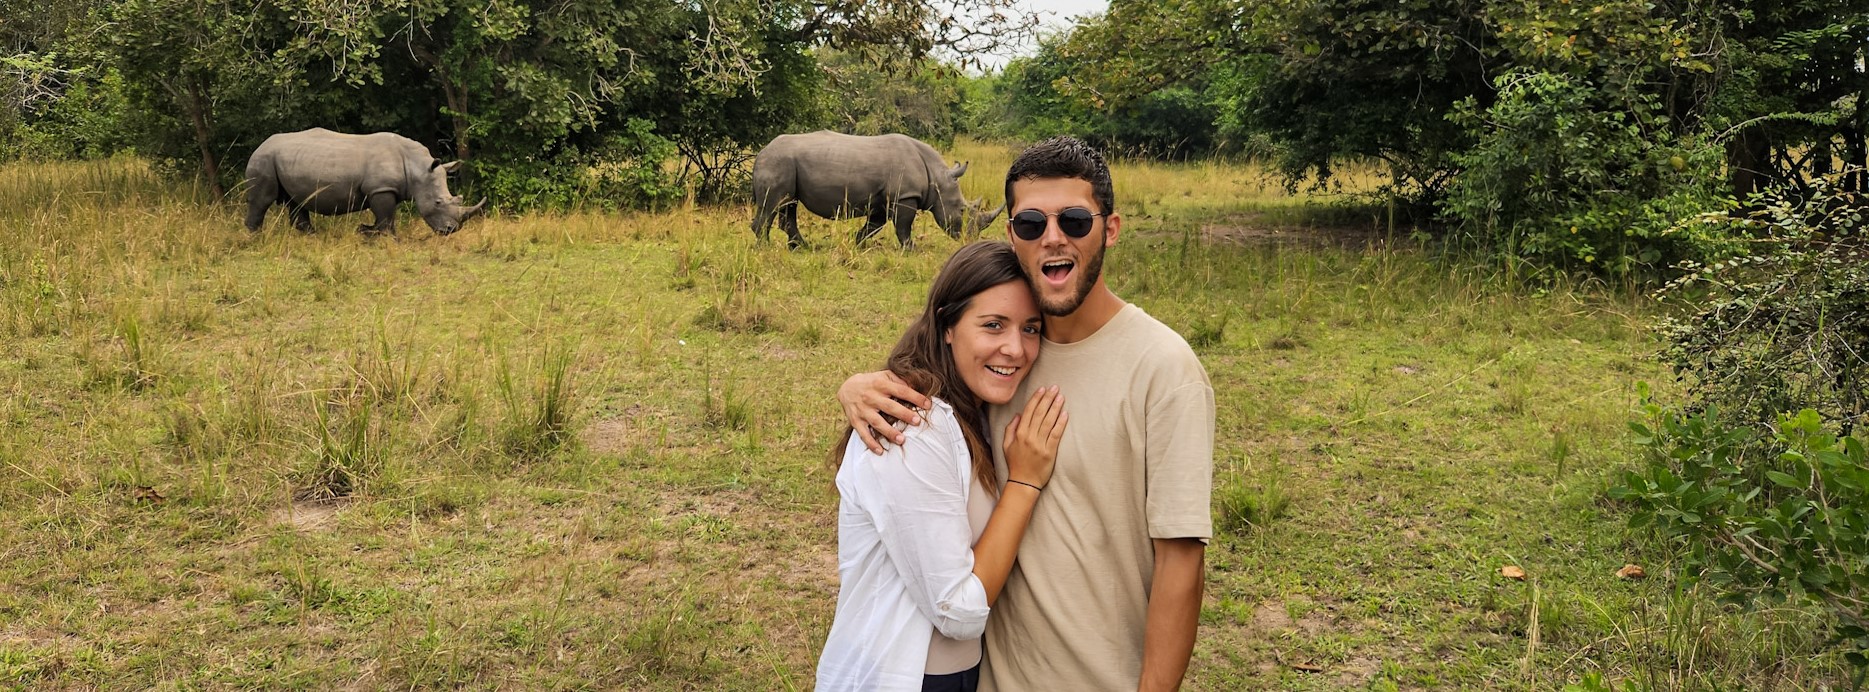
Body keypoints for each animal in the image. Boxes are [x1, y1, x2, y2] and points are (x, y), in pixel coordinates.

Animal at [241, 129, 485, 234]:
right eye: (437, 203)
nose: (452, 230)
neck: (417, 167)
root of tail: (260, 145)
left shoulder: (384, 189)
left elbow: (384, 217)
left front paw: (365, 230)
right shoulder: (380, 189)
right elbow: (385, 217)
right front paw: (384, 237)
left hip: (285, 160)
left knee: (296, 201)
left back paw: (310, 235)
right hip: (264, 160)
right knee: (262, 200)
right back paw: (256, 237)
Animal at [747, 130, 1001, 250]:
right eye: (961, 211)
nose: (970, 240)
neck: (937, 178)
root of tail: (760, 153)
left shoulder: (884, 199)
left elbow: (874, 225)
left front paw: (856, 243)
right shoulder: (904, 196)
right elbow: (903, 226)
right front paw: (911, 249)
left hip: (786, 165)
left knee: (788, 204)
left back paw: (801, 248)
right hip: (778, 162)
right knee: (773, 205)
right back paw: (766, 248)